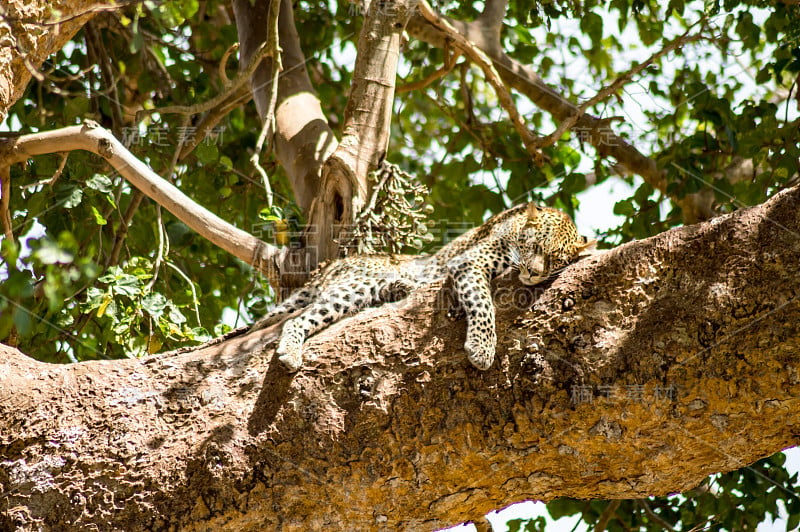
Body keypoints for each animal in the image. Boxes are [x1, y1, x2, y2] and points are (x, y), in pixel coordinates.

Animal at [253, 202, 596, 372]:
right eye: (536, 246)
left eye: (554, 259)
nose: (534, 274)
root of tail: (327, 267)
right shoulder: (469, 262)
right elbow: (483, 305)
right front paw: (483, 348)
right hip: (356, 283)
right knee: (298, 318)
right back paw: (289, 352)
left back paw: (402, 287)